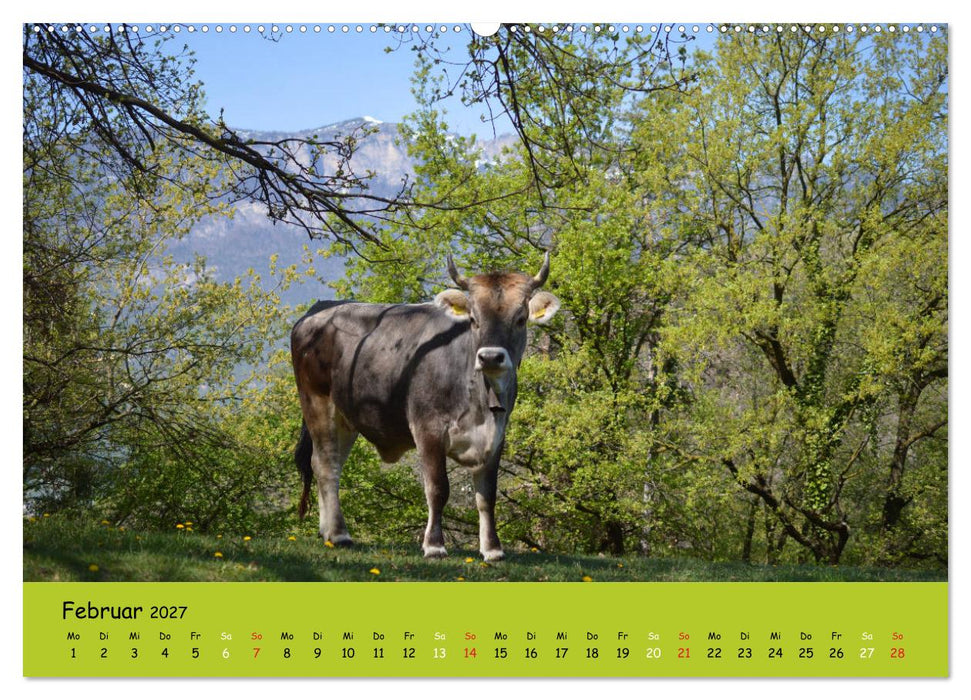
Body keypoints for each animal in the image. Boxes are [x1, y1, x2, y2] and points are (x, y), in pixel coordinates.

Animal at [291, 253, 560, 561]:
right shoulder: (427, 429)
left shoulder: (496, 437)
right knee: (325, 465)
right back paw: (339, 533)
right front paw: (434, 545)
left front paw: (492, 549)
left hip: (346, 418)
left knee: (329, 463)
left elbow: (487, 496)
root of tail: (320, 309)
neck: (481, 401)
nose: (491, 356)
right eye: (473, 319)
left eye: (520, 318)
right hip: (317, 402)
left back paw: (328, 532)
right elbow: (437, 488)